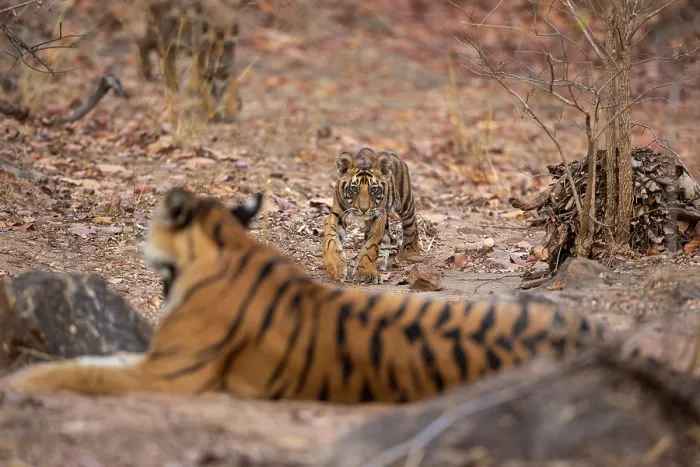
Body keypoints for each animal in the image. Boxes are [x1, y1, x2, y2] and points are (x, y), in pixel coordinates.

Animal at [323, 147, 421, 284]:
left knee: (411, 225)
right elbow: (330, 238)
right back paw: (380, 262)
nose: (364, 209)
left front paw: (366, 273)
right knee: (387, 238)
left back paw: (411, 253)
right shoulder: (337, 213)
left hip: (405, 202)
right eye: (354, 189)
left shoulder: (378, 215)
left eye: (373, 189)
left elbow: (371, 246)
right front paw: (336, 267)